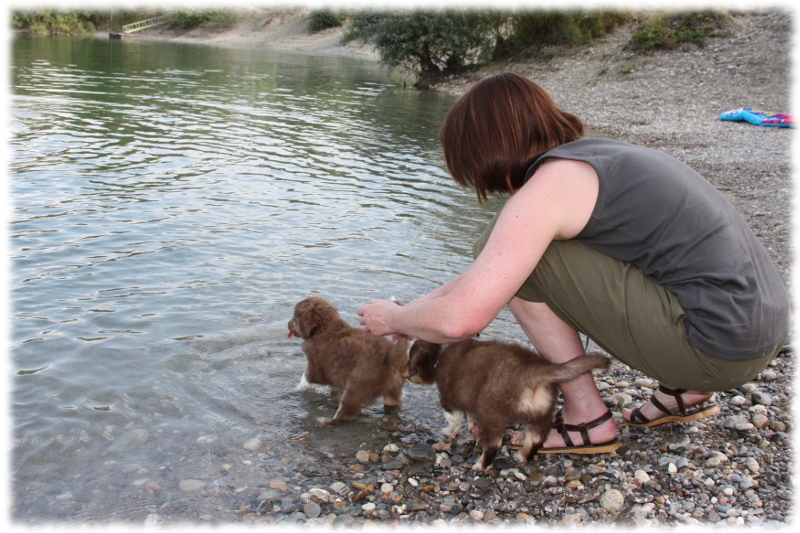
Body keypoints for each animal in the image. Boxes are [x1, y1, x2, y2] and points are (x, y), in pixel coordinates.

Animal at [406, 336, 612, 470]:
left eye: (409, 359)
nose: (404, 373)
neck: (439, 357)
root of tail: (534, 372)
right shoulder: (471, 399)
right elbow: (470, 417)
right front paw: (473, 431)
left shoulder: (450, 399)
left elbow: (454, 420)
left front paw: (449, 432)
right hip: (542, 412)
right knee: (535, 439)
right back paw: (522, 457)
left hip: (491, 411)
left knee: (495, 444)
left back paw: (480, 465)